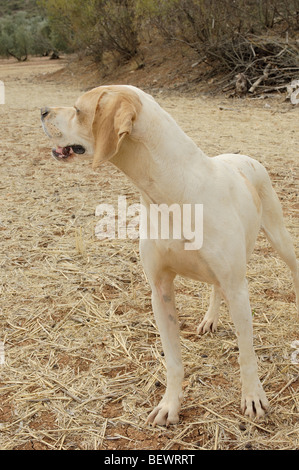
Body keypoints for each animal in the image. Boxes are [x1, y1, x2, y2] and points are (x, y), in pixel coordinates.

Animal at [40, 83, 299, 426]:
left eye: (78, 109)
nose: (42, 111)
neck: (169, 192)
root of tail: (242, 156)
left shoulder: (237, 288)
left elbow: (247, 355)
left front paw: (253, 397)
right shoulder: (160, 290)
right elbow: (173, 361)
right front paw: (170, 405)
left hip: (279, 237)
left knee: (292, 268)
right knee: (215, 290)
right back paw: (210, 319)